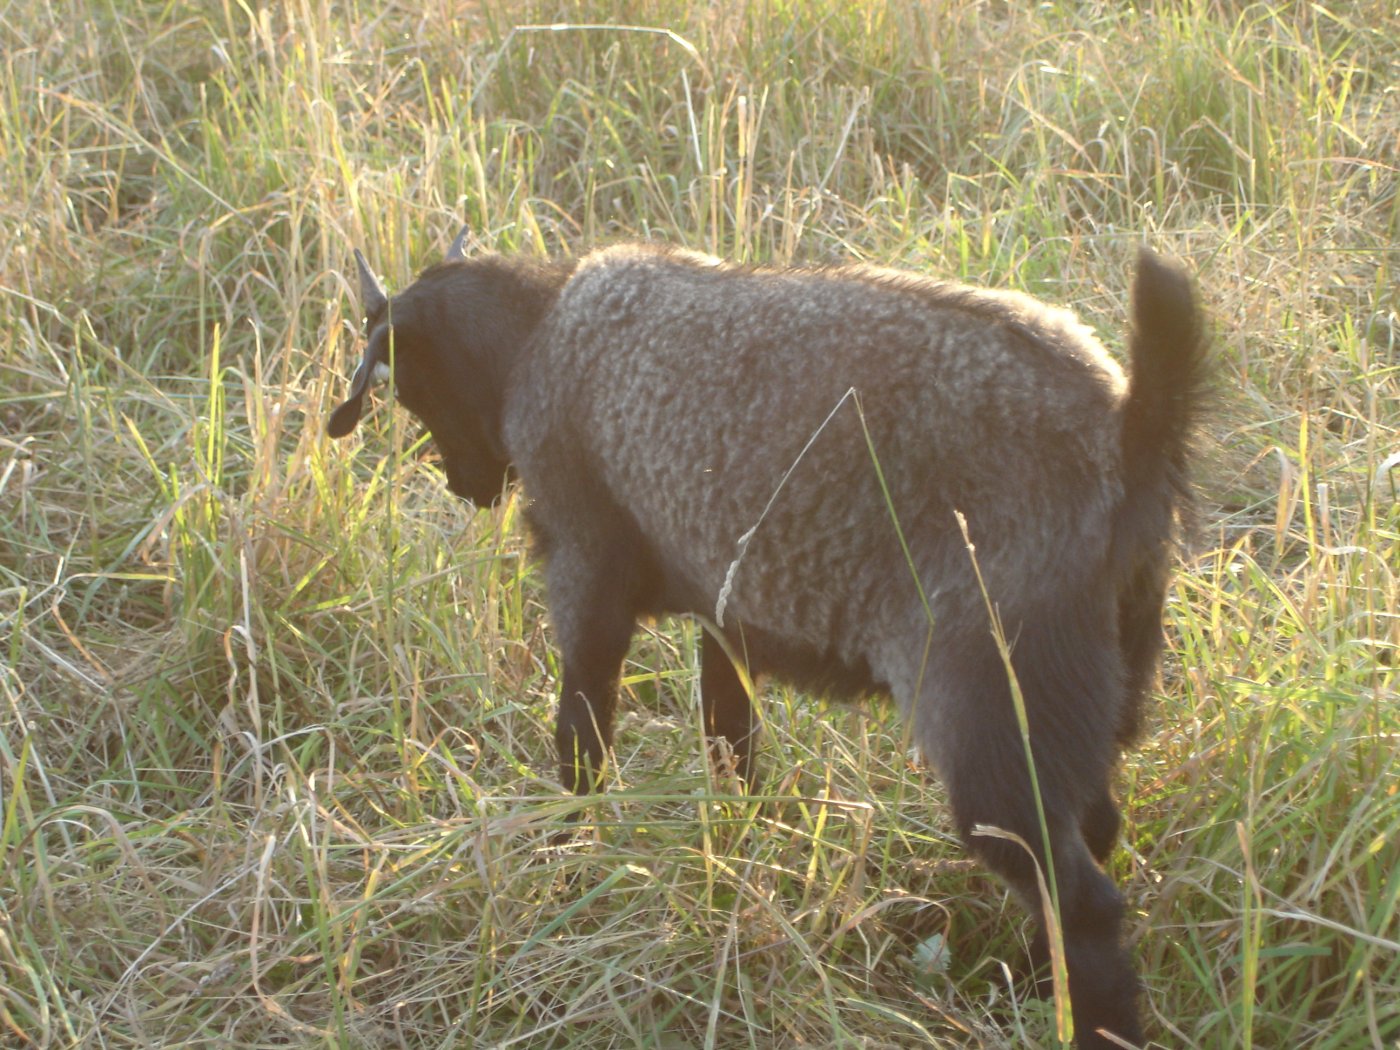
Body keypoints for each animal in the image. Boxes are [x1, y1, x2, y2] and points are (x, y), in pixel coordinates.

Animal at [330, 229, 1215, 1050]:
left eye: (408, 381)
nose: (466, 486)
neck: (538, 332)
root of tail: (1127, 434)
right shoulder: (725, 612)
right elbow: (730, 739)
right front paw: (740, 852)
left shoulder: (586, 569)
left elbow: (581, 738)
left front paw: (567, 860)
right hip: (1089, 689)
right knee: (1094, 833)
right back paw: (1029, 982)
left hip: (992, 703)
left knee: (1083, 902)